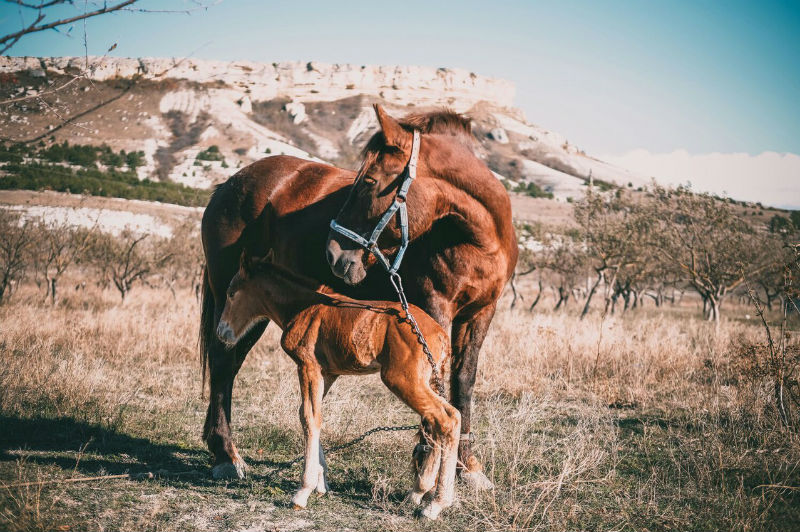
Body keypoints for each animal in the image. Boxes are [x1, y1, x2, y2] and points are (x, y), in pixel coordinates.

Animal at [197, 103, 516, 486]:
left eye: (369, 181)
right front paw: (426, 462)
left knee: (229, 363)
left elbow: (463, 382)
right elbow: (437, 382)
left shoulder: (480, 313)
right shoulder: (434, 307)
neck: (477, 239)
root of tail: (227, 186)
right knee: (222, 361)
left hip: (252, 310)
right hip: (234, 301)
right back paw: (226, 455)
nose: (334, 254)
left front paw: (466, 466)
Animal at [217, 254, 462, 520]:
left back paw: (435, 504)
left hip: (402, 379)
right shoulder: (328, 373)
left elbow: (309, 417)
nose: (221, 332)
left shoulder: (308, 366)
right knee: (437, 422)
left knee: (448, 418)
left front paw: (303, 491)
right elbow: (310, 414)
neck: (302, 307)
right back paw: (420, 493)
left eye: (231, 293)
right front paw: (321, 483)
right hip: (429, 380)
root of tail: (440, 335)